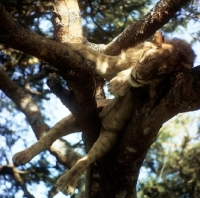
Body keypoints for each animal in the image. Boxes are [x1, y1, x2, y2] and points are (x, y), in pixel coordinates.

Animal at [12, 31, 195, 196]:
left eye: (158, 74)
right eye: (149, 59)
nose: (139, 76)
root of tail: (102, 123)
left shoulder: (153, 92)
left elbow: (130, 81)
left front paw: (120, 83)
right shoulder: (114, 65)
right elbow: (93, 54)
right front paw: (67, 44)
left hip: (109, 138)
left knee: (86, 159)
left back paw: (68, 182)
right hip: (74, 118)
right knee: (47, 139)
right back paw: (22, 156)